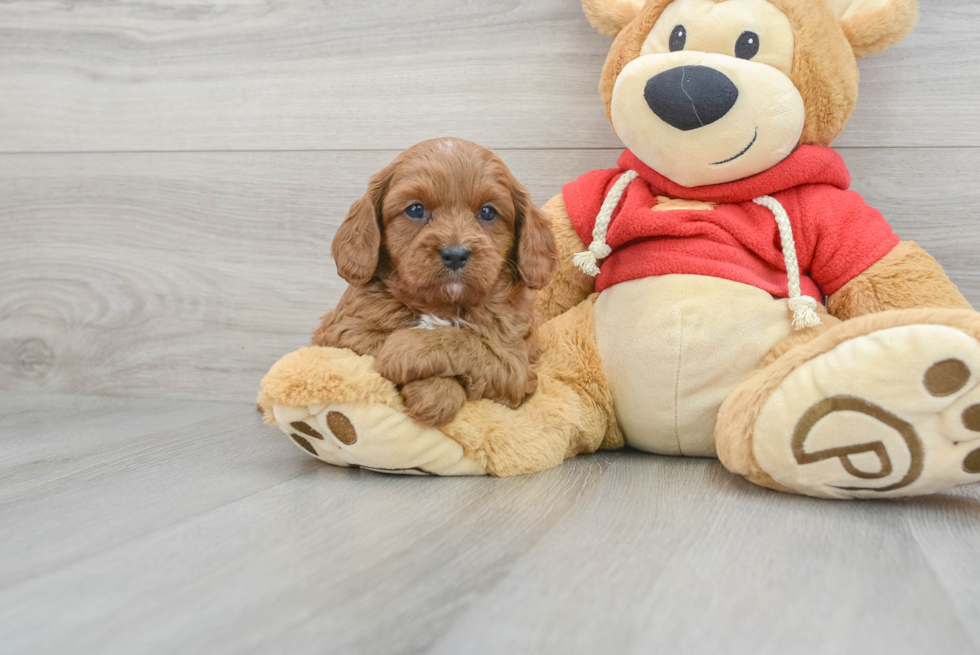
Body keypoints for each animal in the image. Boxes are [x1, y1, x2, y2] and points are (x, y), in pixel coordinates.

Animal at [314, 137, 560, 426]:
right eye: (415, 209)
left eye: (488, 212)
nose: (455, 254)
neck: (441, 306)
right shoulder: (340, 331)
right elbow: (377, 339)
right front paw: (435, 392)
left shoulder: (517, 365)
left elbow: (467, 343)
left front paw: (407, 353)